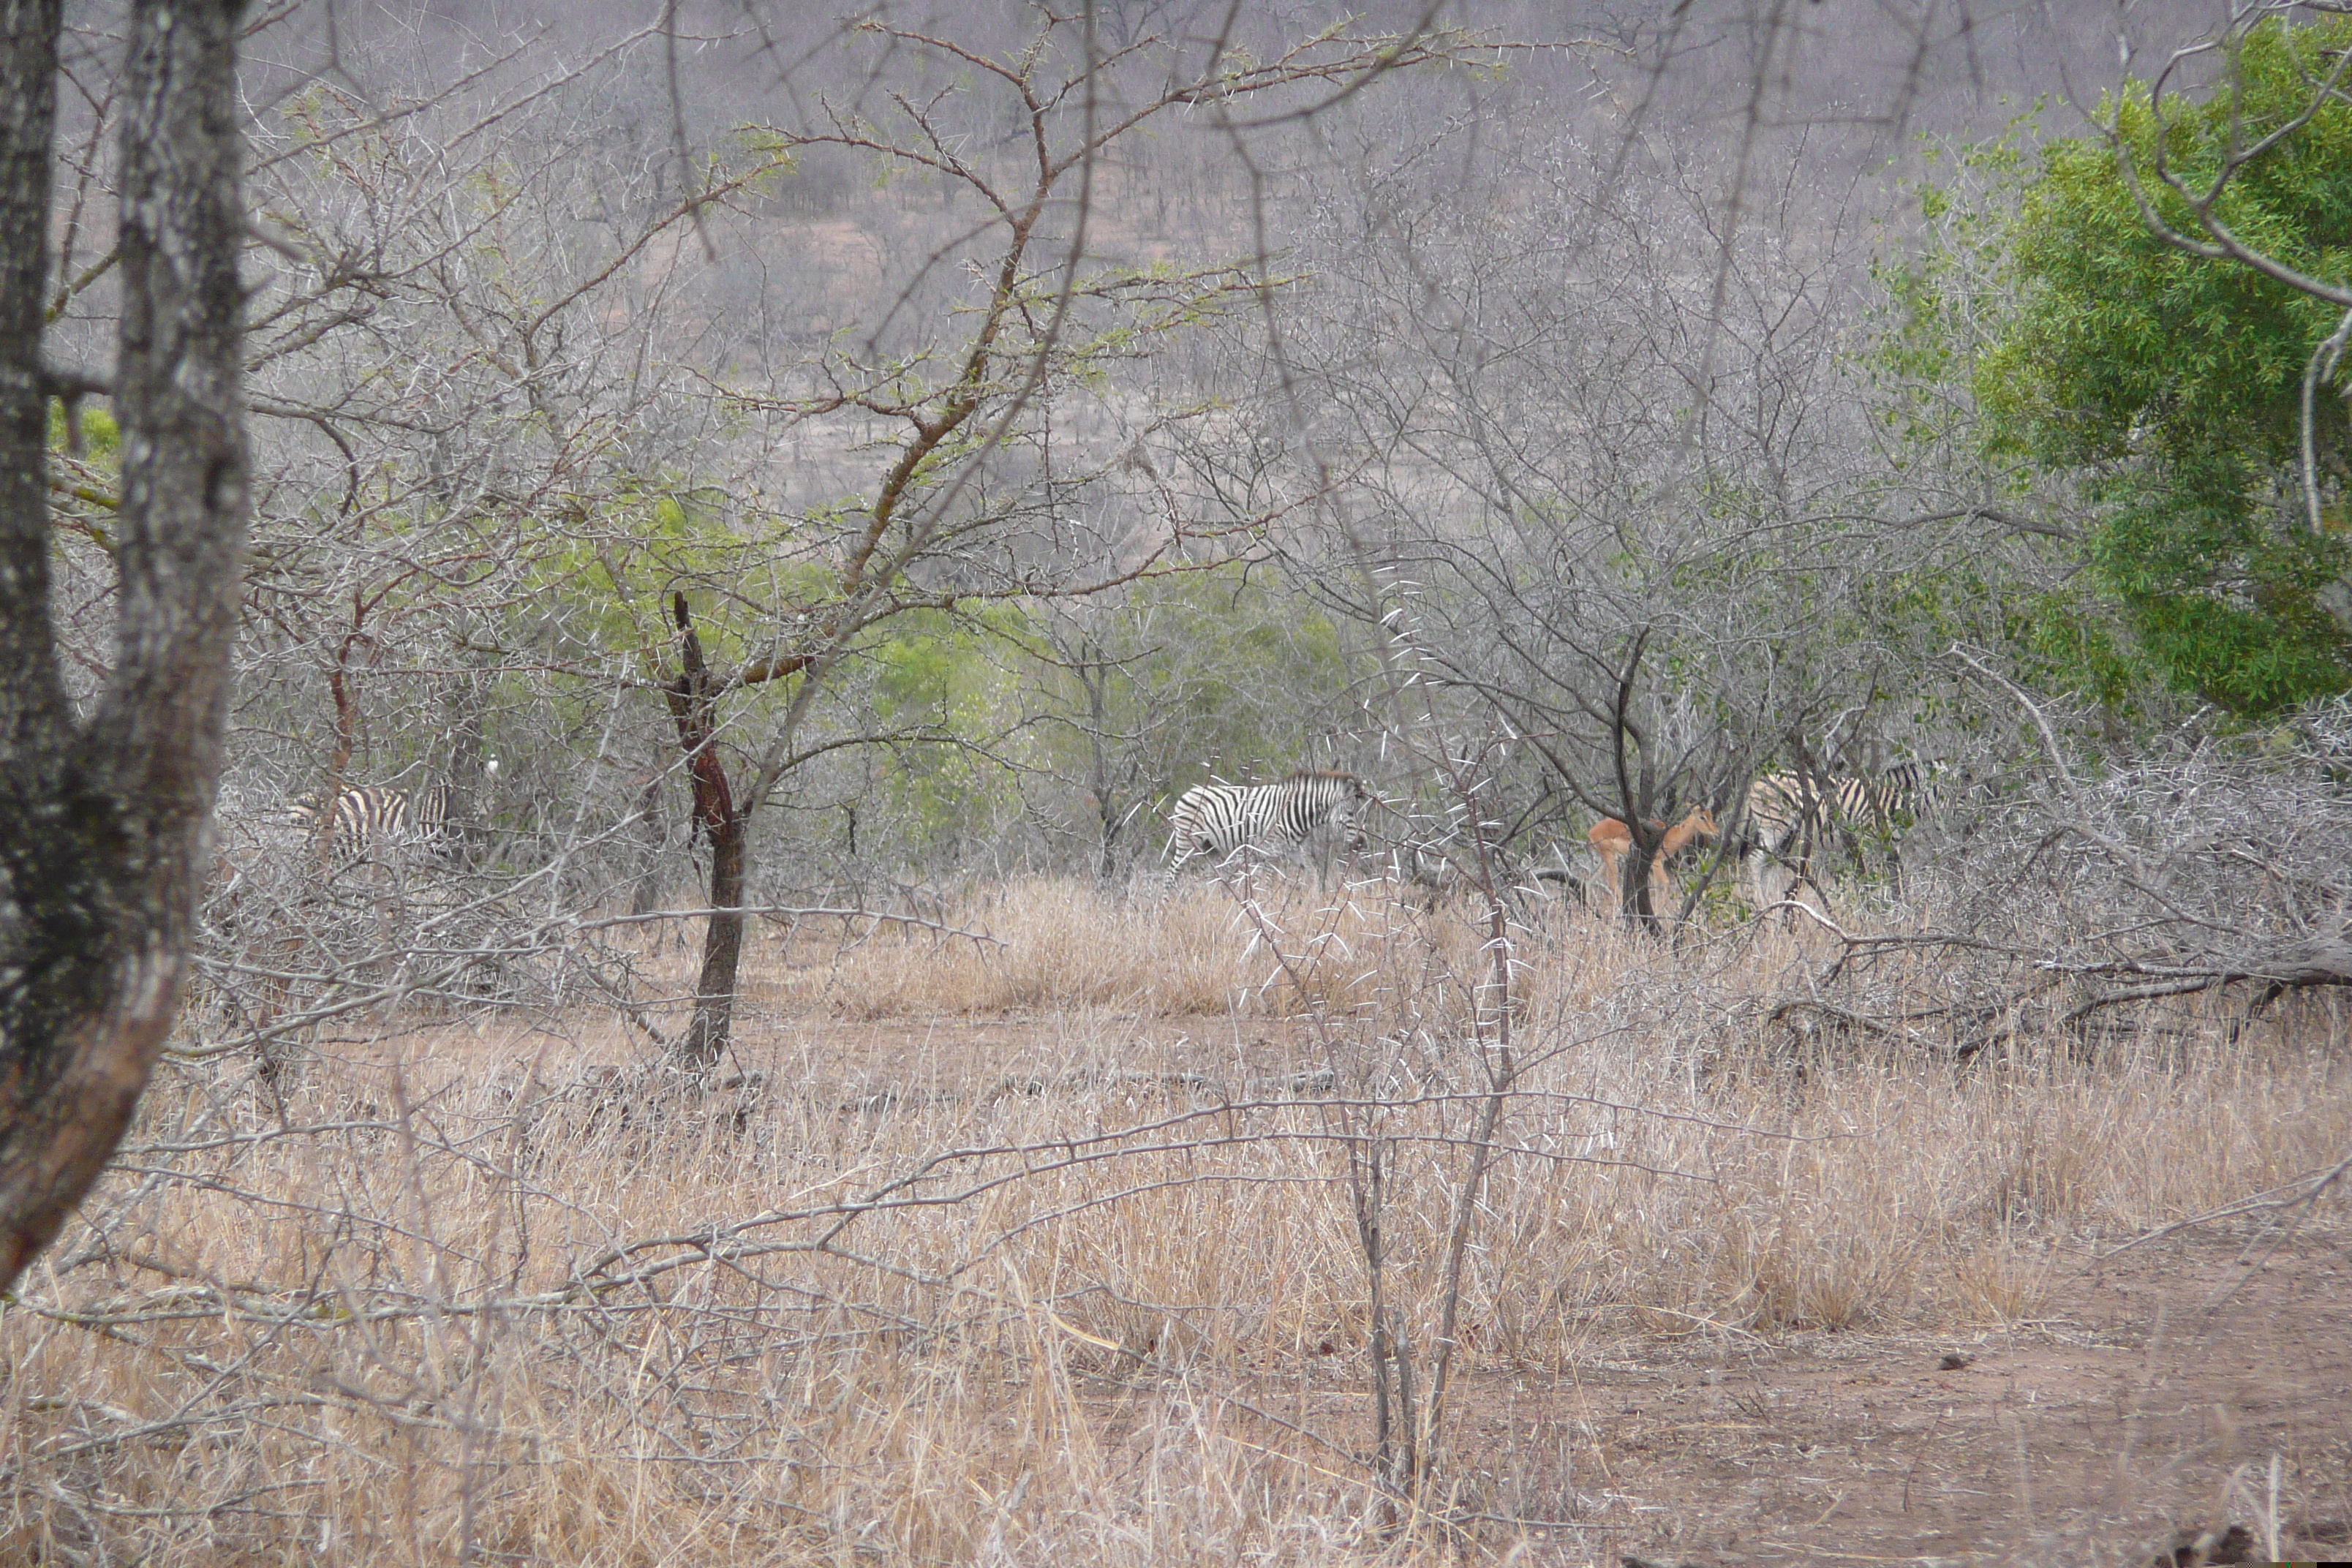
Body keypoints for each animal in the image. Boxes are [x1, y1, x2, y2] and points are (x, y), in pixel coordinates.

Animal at [1161, 771, 1373, 883]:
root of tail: (1187, 793)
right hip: (1187, 842)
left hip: (1209, 847)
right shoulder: (1267, 851)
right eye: (1351, 813)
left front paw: (1318, 901)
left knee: (1211, 876)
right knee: (1171, 873)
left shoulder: (1293, 849)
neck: (1295, 811)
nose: (1362, 843)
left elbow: (1312, 873)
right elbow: (1268, 880)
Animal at [1740, 761, 1956, 907]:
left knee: (1768, 865)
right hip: (1774, 826)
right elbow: (1868, 877)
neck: (1890, 802)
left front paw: (1902, 906)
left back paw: (1771, 901)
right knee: (1755, 860)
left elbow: (1897, 877)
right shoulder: (1865, 839)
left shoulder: (1891, 844)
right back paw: (1762, 903)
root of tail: (1758, 780)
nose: (1953, 828)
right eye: (1955, 794)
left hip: (1787, 834)